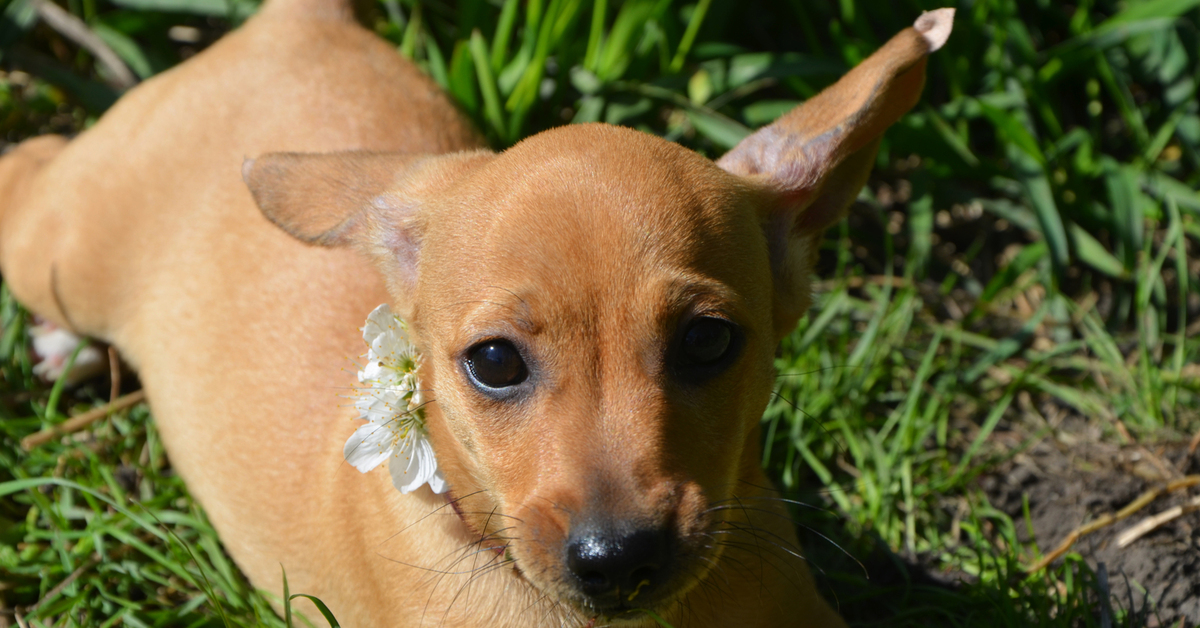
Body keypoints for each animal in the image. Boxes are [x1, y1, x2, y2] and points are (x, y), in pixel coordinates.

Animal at [0, 1, 955, 624]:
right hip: (58, 248)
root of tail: (296, 20)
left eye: (708, 342)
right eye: (494, 363)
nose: (619, 561)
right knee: (27, 161)